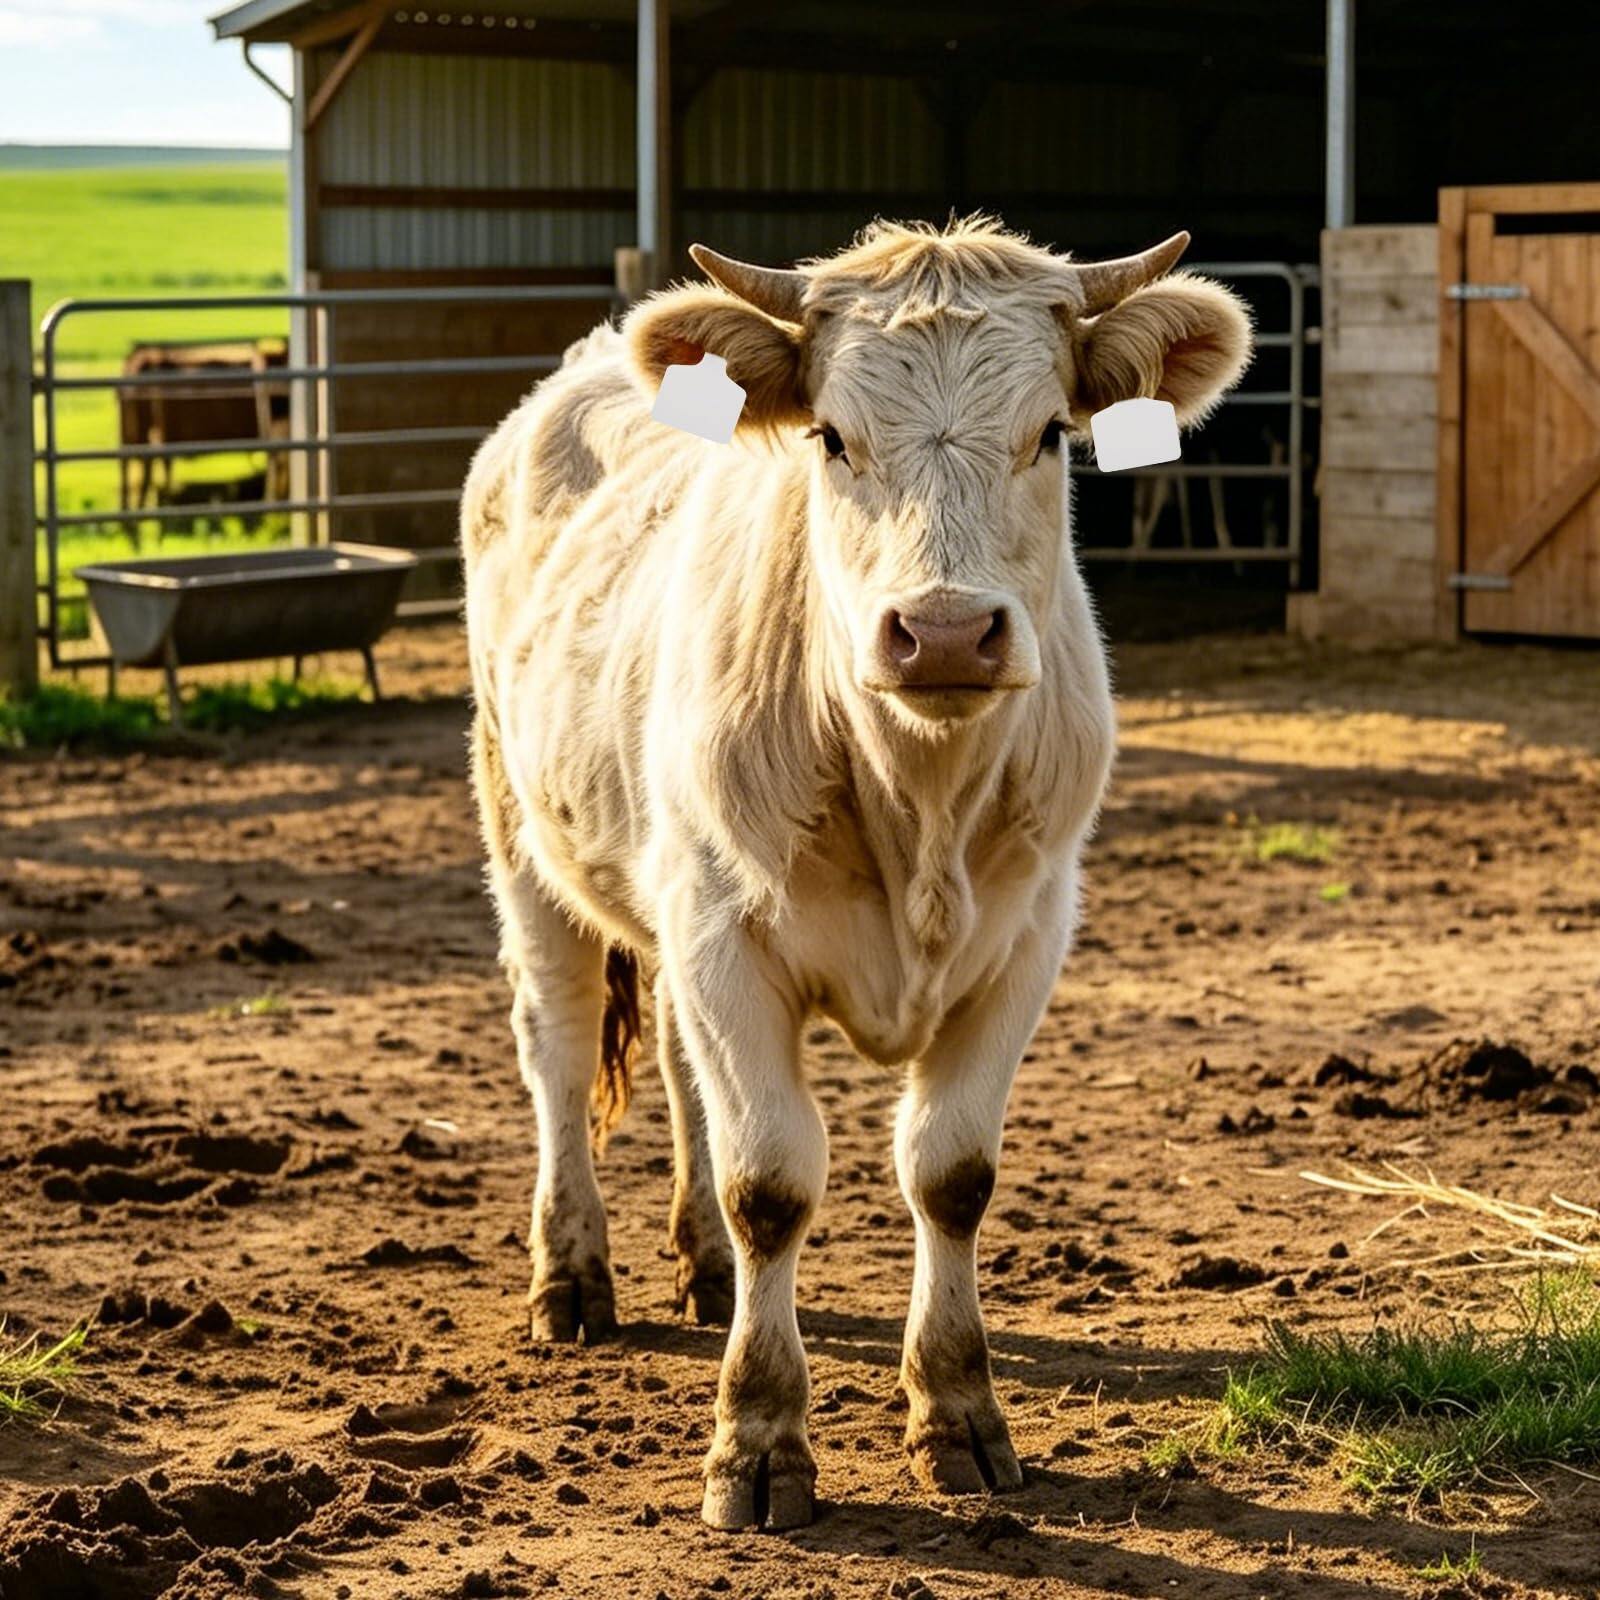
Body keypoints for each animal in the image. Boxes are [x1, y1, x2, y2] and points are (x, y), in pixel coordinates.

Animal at [461, 216, 1251, 1530]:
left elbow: (951, 1174)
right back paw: (570, 1274)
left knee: (678, 1068)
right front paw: (756, 1440)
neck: (916, 798)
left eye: (1051, 433)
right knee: (561, 1053)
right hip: (524, 835)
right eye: (831, 435)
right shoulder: (727, 935)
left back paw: (702, 1267)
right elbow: (772, 1181)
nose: (942, 632)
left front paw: (958, 1412)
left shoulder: (1024, 939)